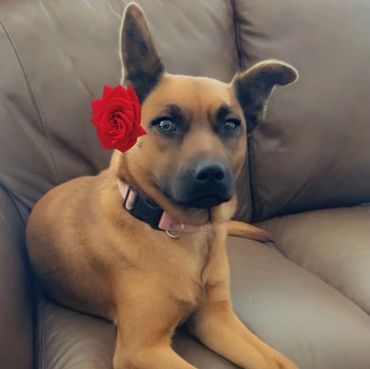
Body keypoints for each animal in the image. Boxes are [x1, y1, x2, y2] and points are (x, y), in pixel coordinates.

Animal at [26, 2, 298, 368]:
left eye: (231, 125)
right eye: (166, 124)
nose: (211, 174)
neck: (180, 230)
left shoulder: (217, 319)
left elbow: (278, 360)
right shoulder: (142, 349)